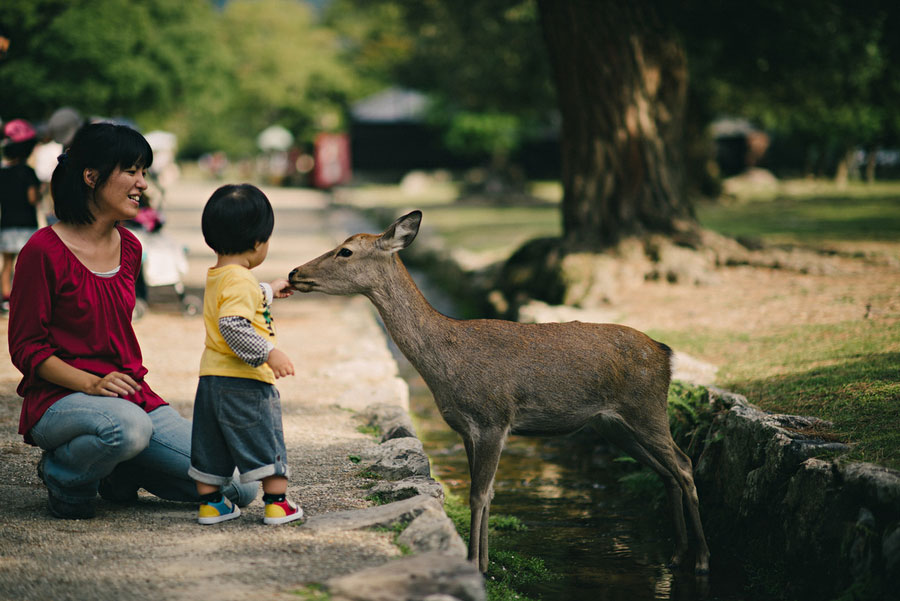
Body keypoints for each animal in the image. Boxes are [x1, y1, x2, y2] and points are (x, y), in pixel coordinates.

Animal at [288, 210, 710, 575]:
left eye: (346, 250)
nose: (294, 272)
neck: (445, 363)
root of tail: (665, 353)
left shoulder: (493, 418)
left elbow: (478, 494)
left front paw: (474, 565)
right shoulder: (467, 428)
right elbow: (488, 493)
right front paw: (485, 563)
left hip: (647, 408)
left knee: (684, 464)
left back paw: (702, 560)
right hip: (612, 425)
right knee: (666, 472)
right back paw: (675, 555)